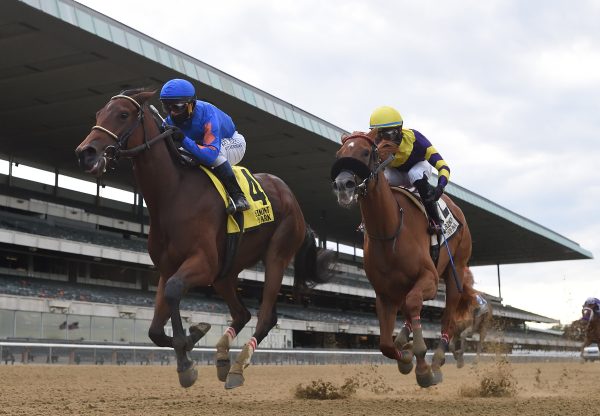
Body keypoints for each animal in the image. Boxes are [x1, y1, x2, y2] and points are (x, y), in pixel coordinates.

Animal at [75, 89, 332, 388]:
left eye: (123, 114)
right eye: (99, 114)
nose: (85, 153)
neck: (173, 194)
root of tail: (293, 199)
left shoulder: (203, 263)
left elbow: (174, 290)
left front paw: (187, 360)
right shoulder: (168, 269)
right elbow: (154, 330)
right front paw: (191, 339)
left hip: (276, 256)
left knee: (265, 316)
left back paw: (238, 367)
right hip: (226, 272)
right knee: (242, 313)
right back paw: (222, 358)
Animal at [330, 132, 476, 386]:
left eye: (365, 152)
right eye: (340, 154)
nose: (342, 185)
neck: (389, 231)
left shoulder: (429, 278)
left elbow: (413, 303)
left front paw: (423, 367)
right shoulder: (384, 294)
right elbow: (385, 345)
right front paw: (406, 357)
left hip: (454, 270)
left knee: (447, 315)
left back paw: (437, 360)